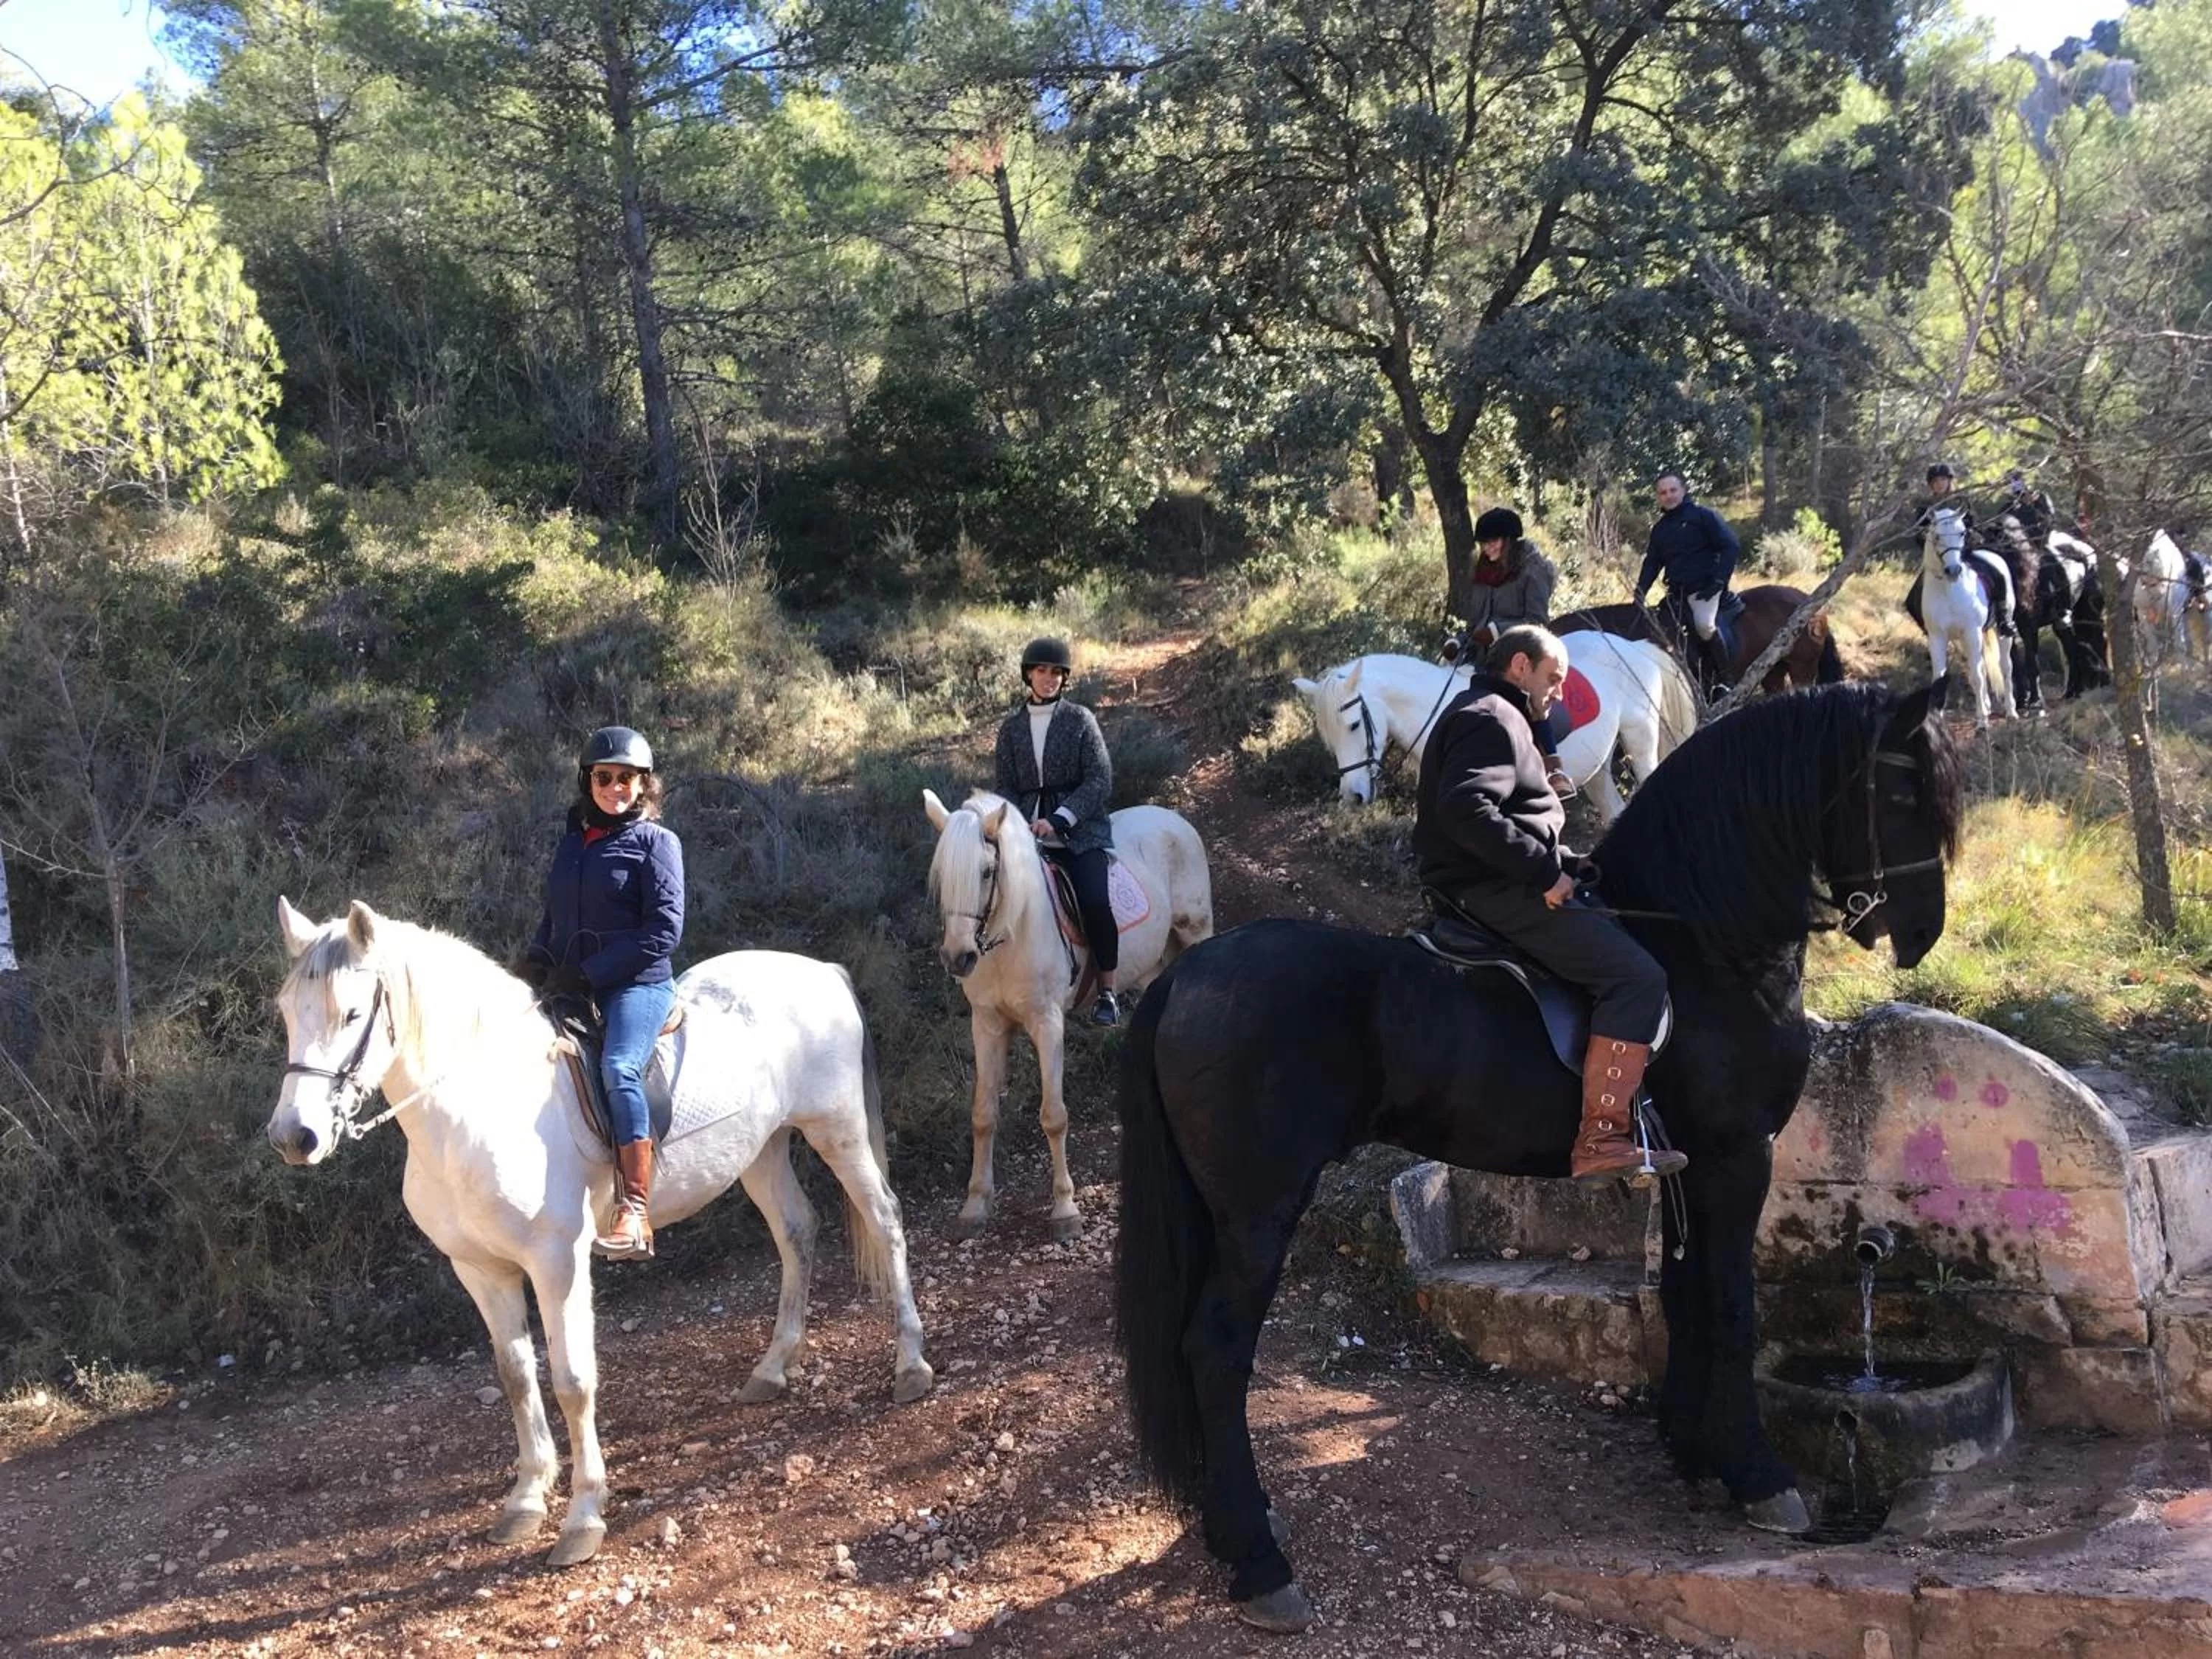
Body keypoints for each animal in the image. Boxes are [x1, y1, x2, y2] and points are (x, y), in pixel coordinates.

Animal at [267, 898, 933, 1567]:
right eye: (286, 1010)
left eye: (352, 1013)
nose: (294, 1137)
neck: (482, 1110)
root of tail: (822, 971)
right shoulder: (481, 1270)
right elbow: (516, 1377)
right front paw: (526, 1500)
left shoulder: (557, 1263)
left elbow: (572, 1382)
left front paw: (583, 1517)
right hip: (763, 1150)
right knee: (796, 1231)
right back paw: (773, 1369)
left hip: (837, 1132)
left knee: (885, 1221)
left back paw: (911, 1365)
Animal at [922, 790, 1213, 1241]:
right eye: (941, 875)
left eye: (987, 872)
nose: (958, 957)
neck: (1012, 933)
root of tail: (1172, 818)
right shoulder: (986, 1025)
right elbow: (983, 1115)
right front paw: (974, 1206)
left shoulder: (1047, 1023)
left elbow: (1054, 1116)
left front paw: (1065, 1209)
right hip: (1154, 966)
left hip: (1197, 932)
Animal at [1112, 678, 1962, 1631]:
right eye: (1900, 791)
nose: (1922, 933)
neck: (1699, 938)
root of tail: (1184, 979)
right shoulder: (1739, 1157)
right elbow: (1732, 1308)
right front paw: (1758, 1476)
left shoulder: (1686, 1170)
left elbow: (1684, 1298)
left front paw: (1694, 1451)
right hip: (1259, 1215)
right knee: (1216, 1350)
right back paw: (1258, 1561)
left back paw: (1236, 1519)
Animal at [1291, 632, 1698, 821]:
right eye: (1329, 739)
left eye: (1354, 725)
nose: (1353, 796)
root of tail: (1635, 647)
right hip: (1598, 768)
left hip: (1641, 742)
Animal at [1913, 506, 2016, 727]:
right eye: (1937, 536)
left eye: (1962, 533)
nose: (1953, 570)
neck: (1949, 590)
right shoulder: (1938, 638)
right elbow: (1940, 678)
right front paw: (1938, 720)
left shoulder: (1971, 633)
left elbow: (1977, 677)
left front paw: (1982, 723)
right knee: (1982, 668)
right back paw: (1987, 706)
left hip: (2000, 631)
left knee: (2005, 667)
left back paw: (2011, 711)